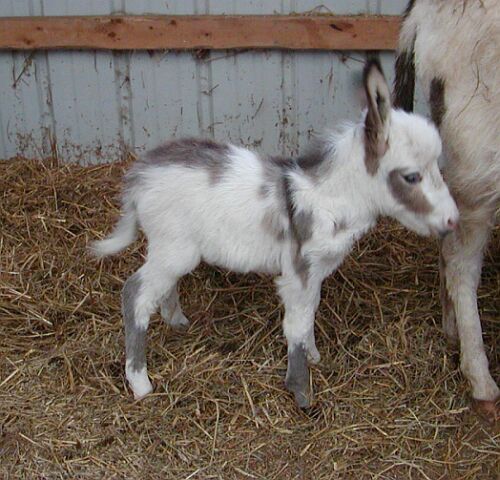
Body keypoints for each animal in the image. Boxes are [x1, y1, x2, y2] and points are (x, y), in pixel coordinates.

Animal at [92, 59, 458, 404]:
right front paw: (301, 392)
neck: (328, 198)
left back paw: (177, 322)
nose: (453, 221)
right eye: (412, 177)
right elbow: (296, 325)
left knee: (161, 287)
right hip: (173, 248)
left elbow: (310, 311)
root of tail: (140, 173)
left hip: (175, 251)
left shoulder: (315, 272)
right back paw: (140, 384)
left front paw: (314, 356)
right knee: (135, 295)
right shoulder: (298, 272)